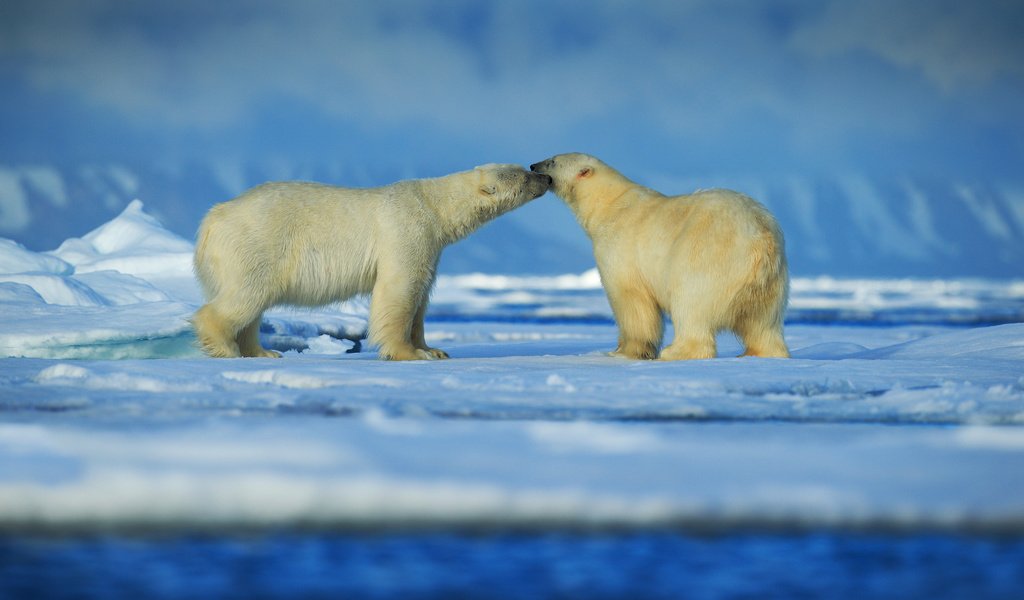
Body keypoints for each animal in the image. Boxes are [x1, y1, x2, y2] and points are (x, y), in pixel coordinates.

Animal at [192, 163, 552, 360]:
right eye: (523, 175)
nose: (545, 177)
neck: (434, 206)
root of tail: (213, 217)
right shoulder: (407, 230)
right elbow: (400, 290)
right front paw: (409, 353)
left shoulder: (432, 246)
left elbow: (421, 296)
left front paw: (433, 348)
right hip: (258, 242)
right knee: (245, 296)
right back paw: (226, 347)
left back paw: (262, 351)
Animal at [532, 154, 786, 360]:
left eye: (553, 161)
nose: (534, 166)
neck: (608, 204)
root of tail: (760, 238)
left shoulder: (620, 247)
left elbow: (630, 299)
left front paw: (625, 351)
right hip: (771, 283)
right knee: (763, 324)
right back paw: (761, 353)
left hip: (708, 257)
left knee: (690, 304)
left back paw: (675, 351)